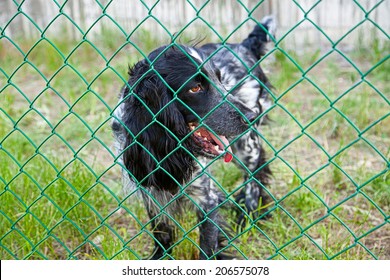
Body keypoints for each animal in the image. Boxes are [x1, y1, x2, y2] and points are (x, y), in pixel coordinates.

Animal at [112, 16, 276, 260]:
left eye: (220, 79)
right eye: (195, 88)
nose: (251, 115)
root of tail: (244, 46)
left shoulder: (206, 200)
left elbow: (207, 248)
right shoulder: (150, 190)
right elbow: (161, 233)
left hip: (246, 146)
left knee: (254, 174)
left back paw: (247, 214)